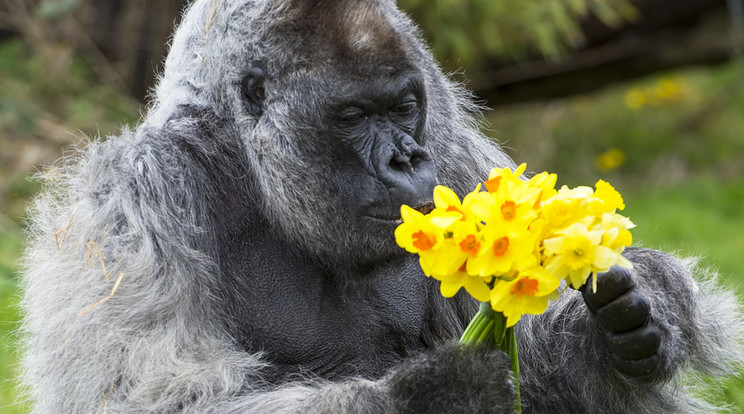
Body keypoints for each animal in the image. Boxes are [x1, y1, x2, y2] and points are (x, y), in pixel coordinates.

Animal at [20, 0, 740, 414]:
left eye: (402, 107)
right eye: (354, 115)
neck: (251, 170)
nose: (405, 160)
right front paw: (433, 395)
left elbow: (542, 364)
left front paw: (636, 319)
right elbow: (159, 398)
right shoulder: (133, 200)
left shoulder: (453, 150)